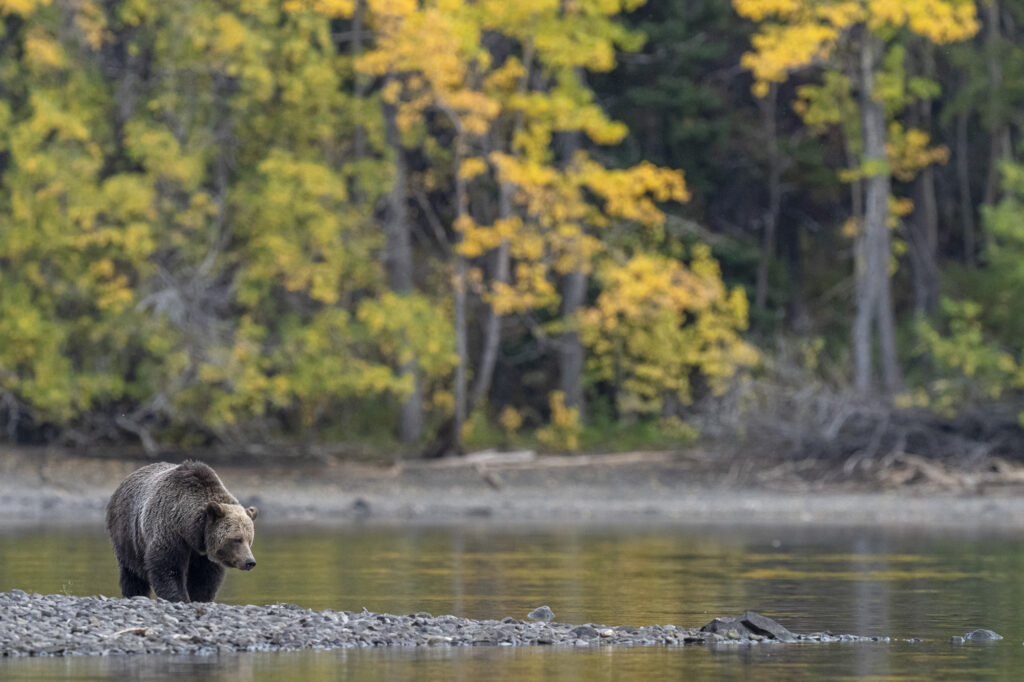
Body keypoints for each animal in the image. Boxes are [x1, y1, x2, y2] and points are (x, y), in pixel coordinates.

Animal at [106, 460, 258, 602]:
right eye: (236, 539)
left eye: (249, 540)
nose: (250, 561)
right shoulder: (169, 530)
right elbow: (168, 568)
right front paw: (179, 597)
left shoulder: (203, 552)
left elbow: (205, 577)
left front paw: (200, 597)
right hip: (128, 534)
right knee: (131, 572)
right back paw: (135, 593)